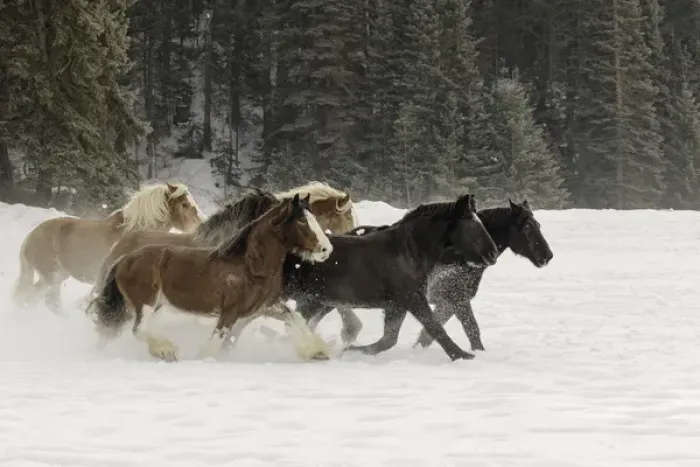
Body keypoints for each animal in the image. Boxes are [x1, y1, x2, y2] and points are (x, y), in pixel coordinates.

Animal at [13, 182, 203, 313]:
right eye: (185, 205)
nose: (201, 223)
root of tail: (30, 237)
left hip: (56, 276)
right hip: (51, 277)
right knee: (47, 301)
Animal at [86, 193, 334, 363]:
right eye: (302, 221)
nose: (326, 249)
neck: (249, 266)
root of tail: (123, 259)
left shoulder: (266, 306)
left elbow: (295, 318)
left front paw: (317, 351)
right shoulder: (230, 312)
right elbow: (217, 340)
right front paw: (203, 358)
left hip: (142, 306)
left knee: (113, 329)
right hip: (144, 303)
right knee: (138, 330)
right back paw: (166, 350)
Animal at [269, 194, 501, 362]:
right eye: (472, 226)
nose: (493, 254)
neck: (408, 252)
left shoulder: (396, 306)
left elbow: (388, 340)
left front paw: (350, 350)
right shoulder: (413, 299)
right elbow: (436, 328)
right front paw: (463, 355)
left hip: (313, 302)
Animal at [310, 199, 554, 352]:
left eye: (538, 224)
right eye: (528, 227)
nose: (547, 256)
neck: (458, 257)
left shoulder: (447, 303)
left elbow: (428, 334)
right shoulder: (456, 300)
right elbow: (470, 331)